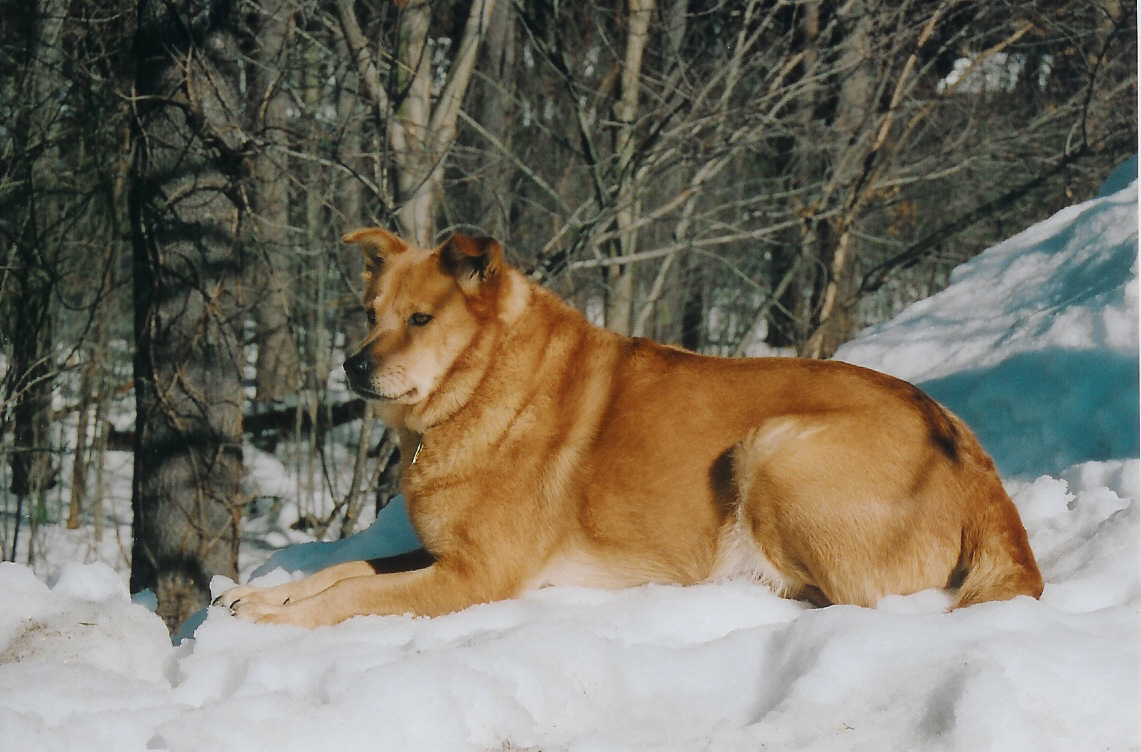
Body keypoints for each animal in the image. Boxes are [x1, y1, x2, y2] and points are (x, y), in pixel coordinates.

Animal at [214, 230, 1045, 629]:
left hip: (775, 448)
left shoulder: (474, 577)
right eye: (368, 312)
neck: (481, 383)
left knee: (845, 599)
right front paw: (258, 595)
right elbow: (344, 571)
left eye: (420, 319)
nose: (352, 366)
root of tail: (978, 469)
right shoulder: (444, 555)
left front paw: (272, 613)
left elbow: (351, 593)